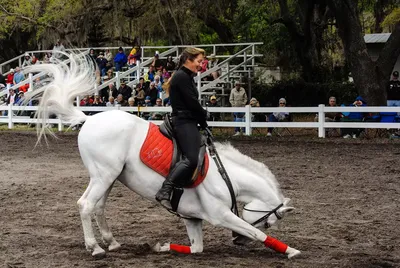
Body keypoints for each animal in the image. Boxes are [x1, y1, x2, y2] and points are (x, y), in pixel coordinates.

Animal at [24, 54, 300, 260]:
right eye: (268, 223)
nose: (237, 242)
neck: (226, 176)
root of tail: (89, 119)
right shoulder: (220, 215)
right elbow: (257, 235)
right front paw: (290, 250)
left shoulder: (192, 218)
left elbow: (196, 248)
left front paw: (163, 247)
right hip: (103, 175)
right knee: (85, 205)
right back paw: (95, 248)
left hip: (108, 177)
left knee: (98, 207)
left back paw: (112, 243)